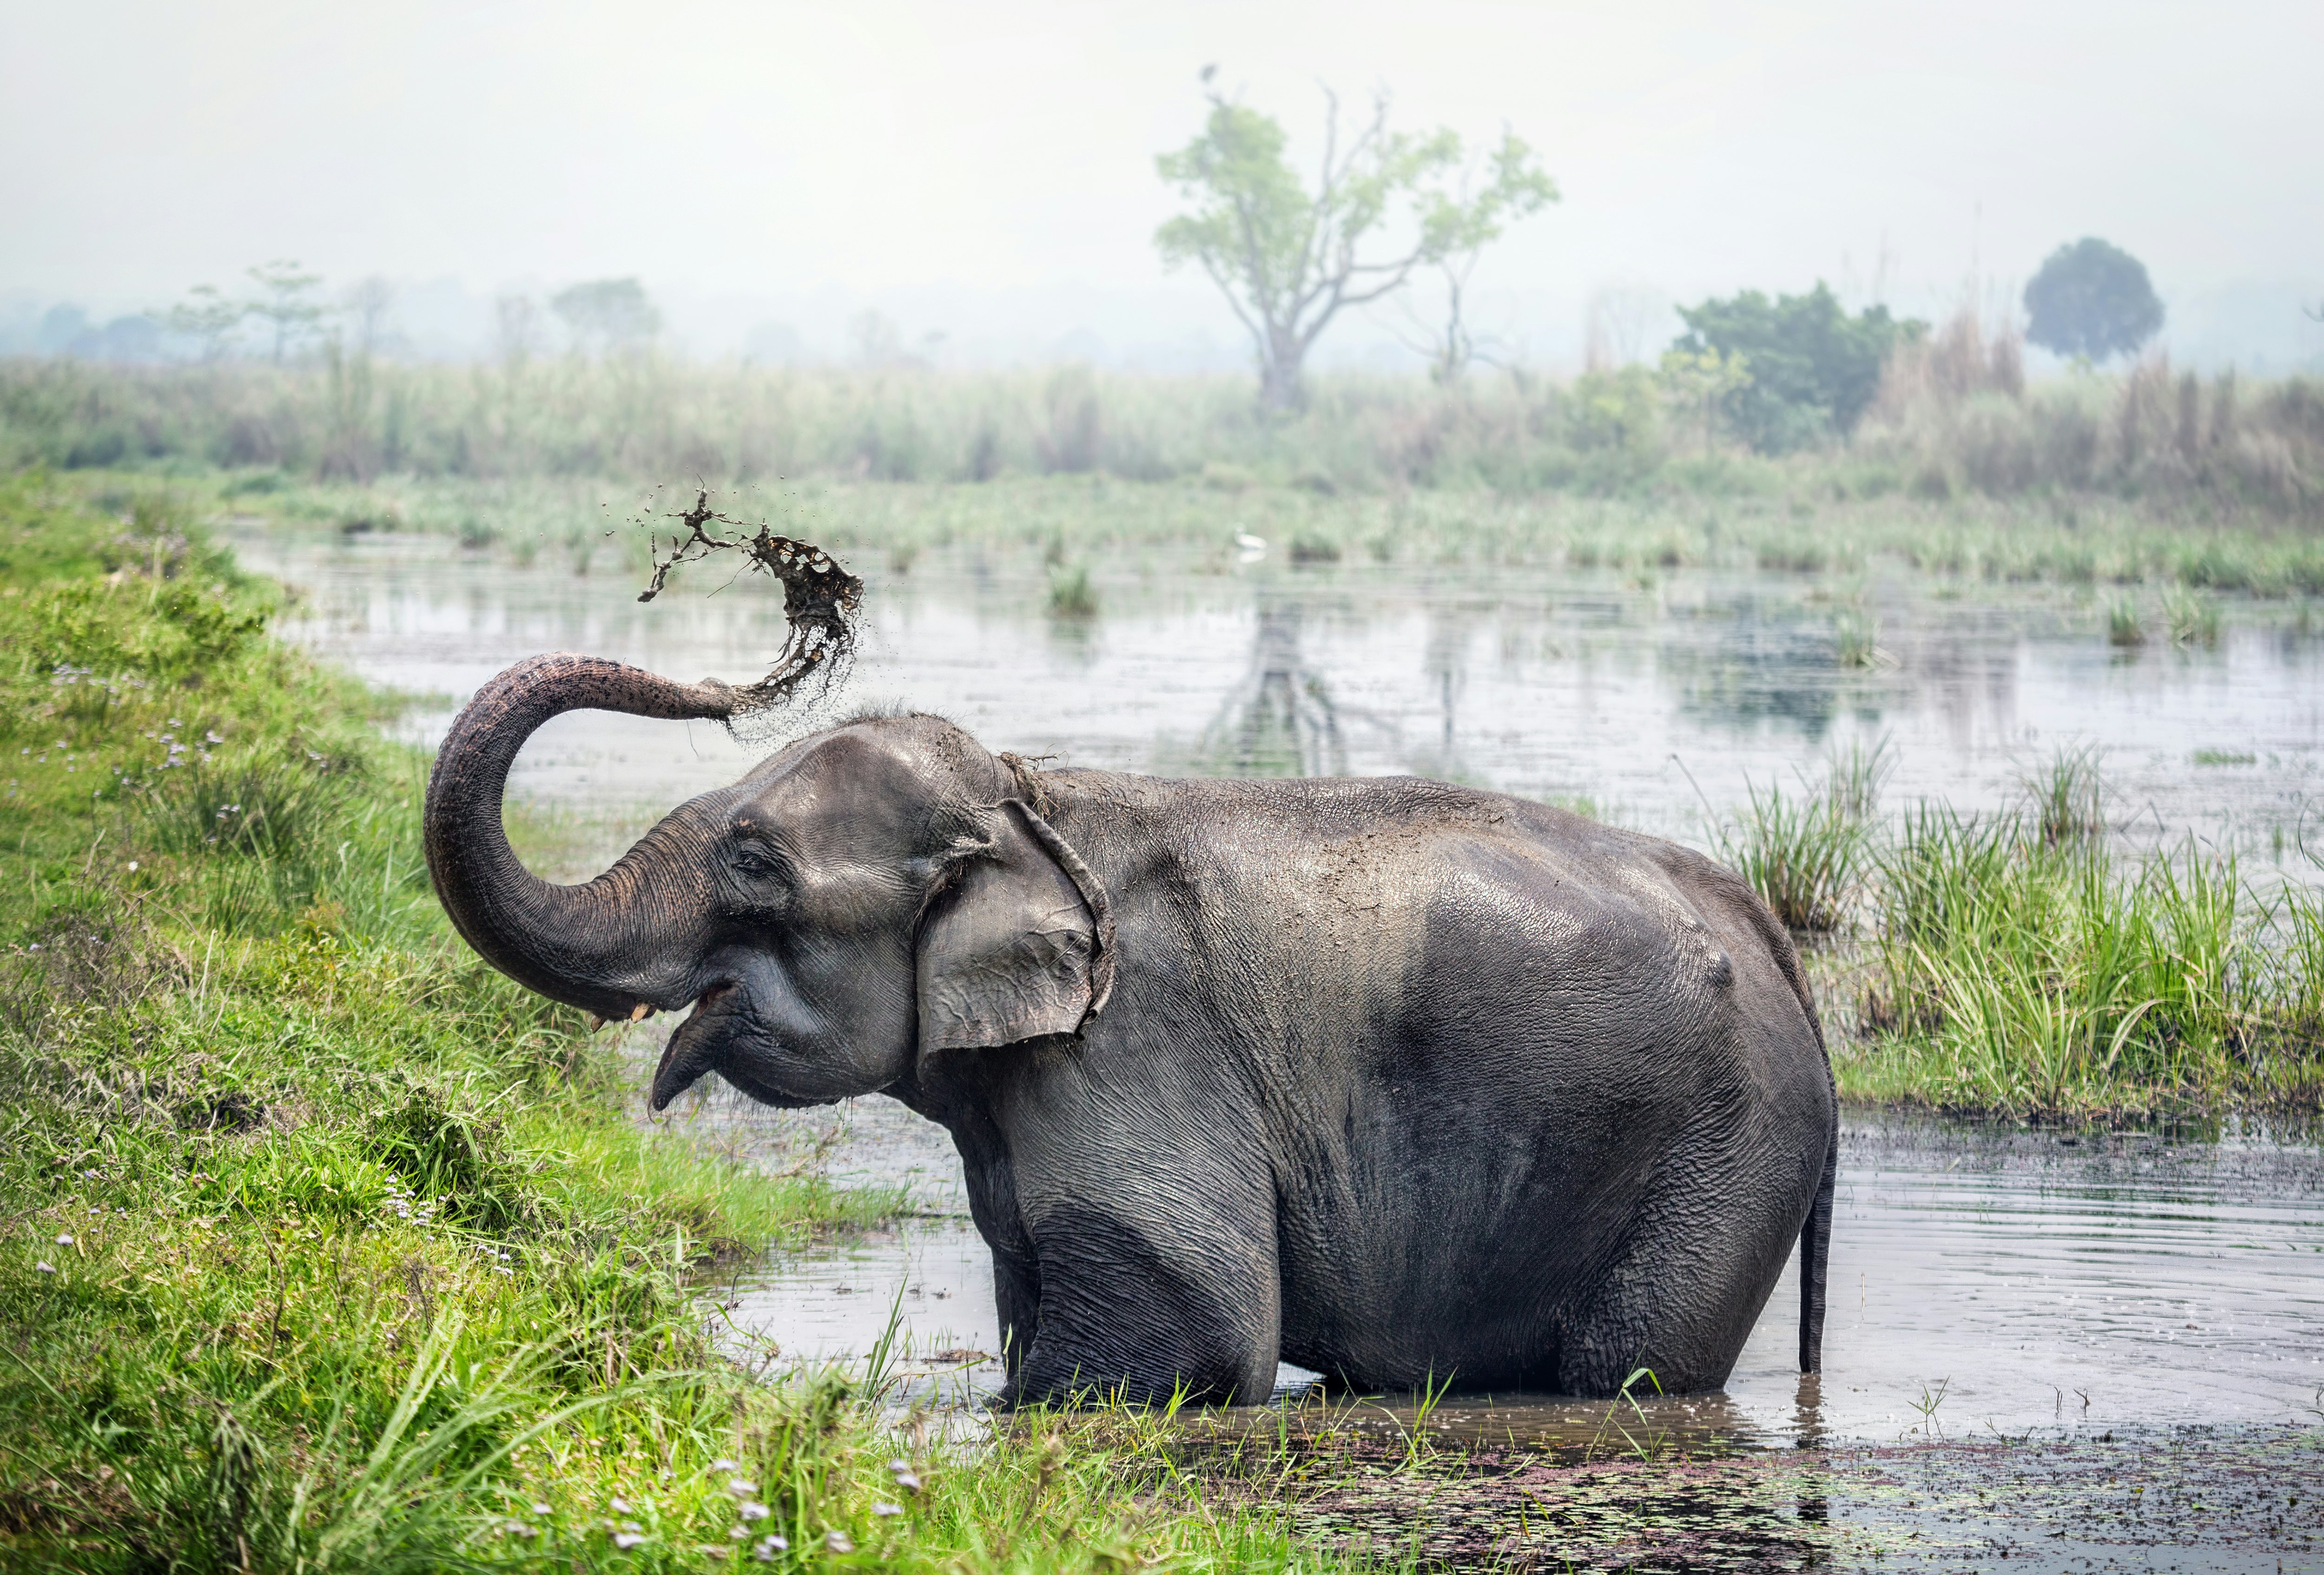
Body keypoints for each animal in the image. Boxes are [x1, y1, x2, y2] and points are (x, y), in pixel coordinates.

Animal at [424, 653, 1836, 1407]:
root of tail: (1768, 932)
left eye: (757, 861)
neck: (1031, 797)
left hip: (1723, 1154)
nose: (732, 679)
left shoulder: (1132, 1049)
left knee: (1633, 1373)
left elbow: (1198, 1329)